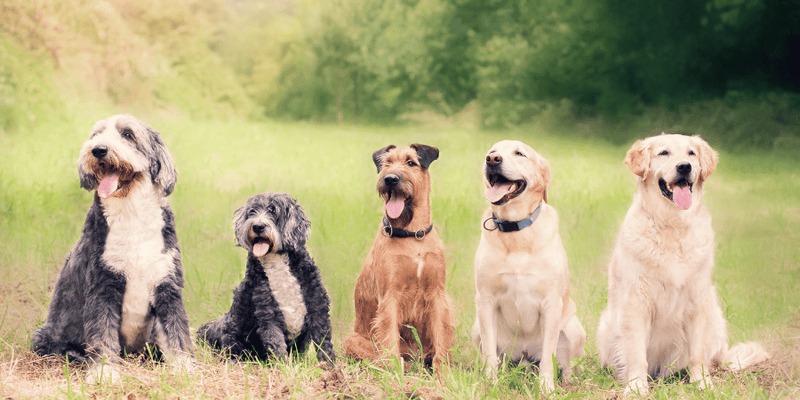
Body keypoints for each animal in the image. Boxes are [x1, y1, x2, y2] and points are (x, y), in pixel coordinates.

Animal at [31, 114, 195, 382]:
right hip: (42, 336)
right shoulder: (103, 286)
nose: (98, 150)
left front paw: (184, 369)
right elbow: (102, 335)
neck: (132, 214)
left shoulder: (167, 285)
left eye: (128, 134)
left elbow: (177, 332)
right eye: (96, 135)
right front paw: (105, 373)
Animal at [200, 192, 338, 368]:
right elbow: (276, 345)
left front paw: (330, 368)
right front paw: (284, 370)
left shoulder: (318, 307)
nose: (258, 226)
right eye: (252, 211)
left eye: (273, 211)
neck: (276, 263)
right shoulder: (268, 315)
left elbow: (324, 343)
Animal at [344, 144, 454, 376]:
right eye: (387, 163)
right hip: (352, 340)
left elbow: (441, 337)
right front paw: (395, 372)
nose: (390, 179)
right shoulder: (390, 296)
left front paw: (444, 375)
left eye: (411, 162)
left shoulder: (437, 294)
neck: (413, 236)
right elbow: (390, 338)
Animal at [472, 139, 584, 392]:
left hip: (574, 328)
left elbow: (548, 356)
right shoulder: (485, 299)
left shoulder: (551, 303)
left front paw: (546, 388)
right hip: (476, 328)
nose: (492, 160)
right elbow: (490, 353)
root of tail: (523, 357)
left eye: (519, 154)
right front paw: (490, 383)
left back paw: (568, 380)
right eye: (492, 152)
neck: (516, 230)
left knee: (567, 363)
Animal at [600, 134, 768, 394]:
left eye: (691, 153)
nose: (684, 167)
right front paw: (637, 386)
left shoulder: (697, 299)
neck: (672, 225)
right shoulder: (636, 301)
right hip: (606, 325)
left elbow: (698, 353)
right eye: (663, 153)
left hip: (714, 314)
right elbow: (636, 353)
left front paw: (703, 383)